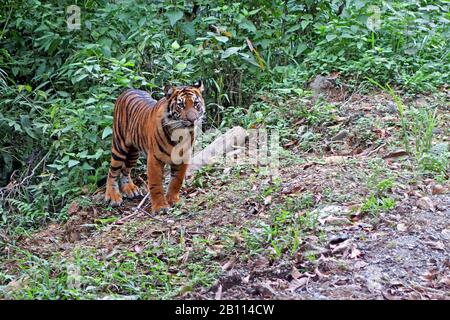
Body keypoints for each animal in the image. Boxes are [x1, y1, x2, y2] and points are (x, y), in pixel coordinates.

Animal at [104, 81, 205, 214]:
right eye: (181, 105)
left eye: (196, 104)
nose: (192, 120)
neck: (179, 133)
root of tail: (127, 90)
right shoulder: (154, 159)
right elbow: (156, 184)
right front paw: (160, 207)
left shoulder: (183, 157)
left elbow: (176, 181)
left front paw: (173, 200)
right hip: (119, 146)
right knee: (112, 172)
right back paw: (113, 196)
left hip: (133, 152)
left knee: (126, 170)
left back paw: (130, 189)